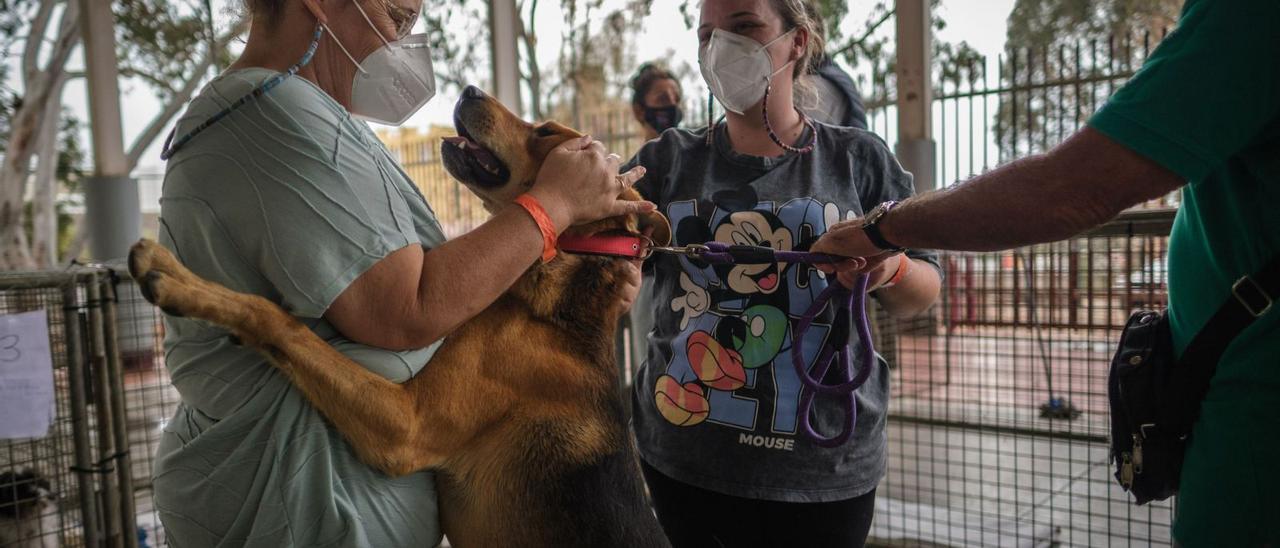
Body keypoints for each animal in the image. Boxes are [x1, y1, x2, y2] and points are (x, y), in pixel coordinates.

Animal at [124, 85, 675, 548]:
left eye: (544, 132)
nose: (469, 89)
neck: (552, 307)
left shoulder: (407, 426)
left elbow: (278, 320)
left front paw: (178, 279)